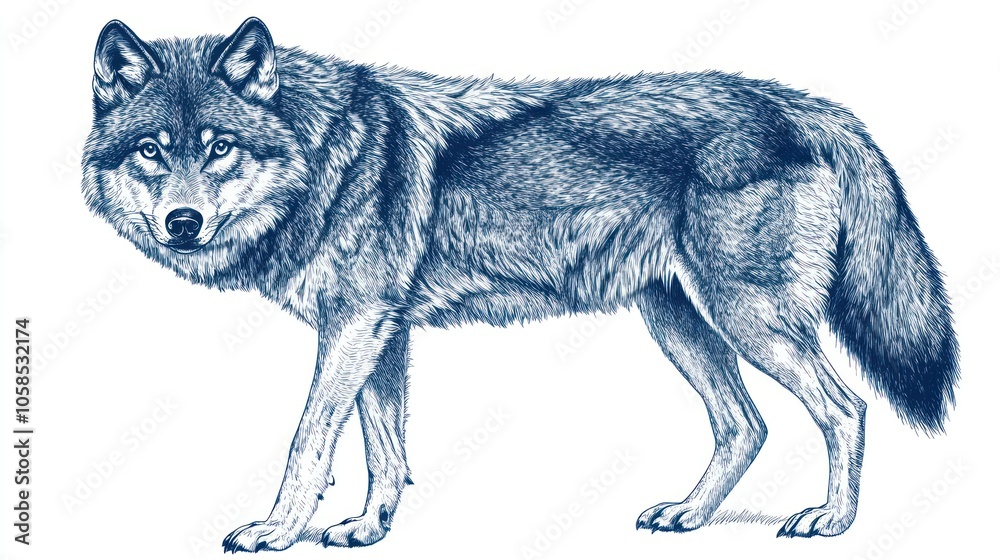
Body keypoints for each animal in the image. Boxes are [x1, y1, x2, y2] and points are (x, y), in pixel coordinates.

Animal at [82, 16, 958, 552]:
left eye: (218, 147)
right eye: (153, 151)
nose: (183, 222)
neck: (323, 153)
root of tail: (809, 105)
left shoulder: (356, 326)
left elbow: (310, 441)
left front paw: (275, 531)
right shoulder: (380, 332)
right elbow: (383, 448)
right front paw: (369, 528)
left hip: (749, 320)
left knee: (845, 408)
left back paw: (832, 522)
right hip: (681, 323)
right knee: (745, 425)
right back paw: (688, 516)